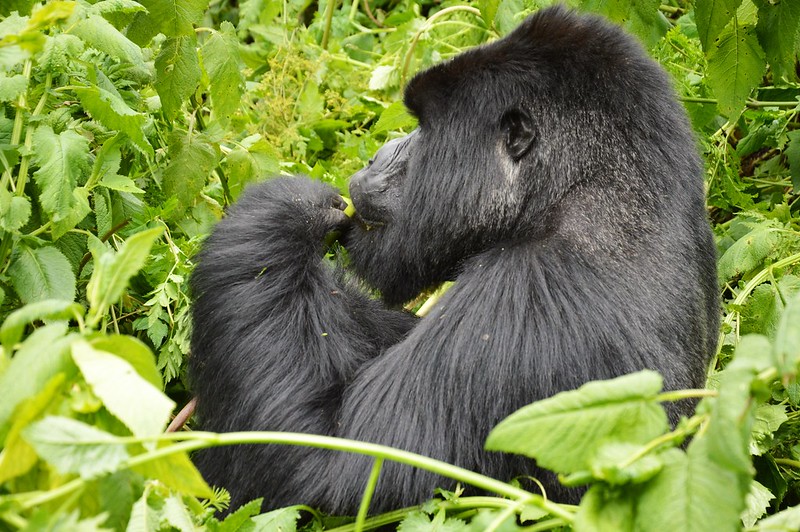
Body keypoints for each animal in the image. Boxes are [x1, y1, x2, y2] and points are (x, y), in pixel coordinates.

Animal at [191, 5, 720, 516]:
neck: (582, 191)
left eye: (424, 128)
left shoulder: (523, 296)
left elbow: (336, 463)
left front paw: (284, 212)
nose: (378, 155)